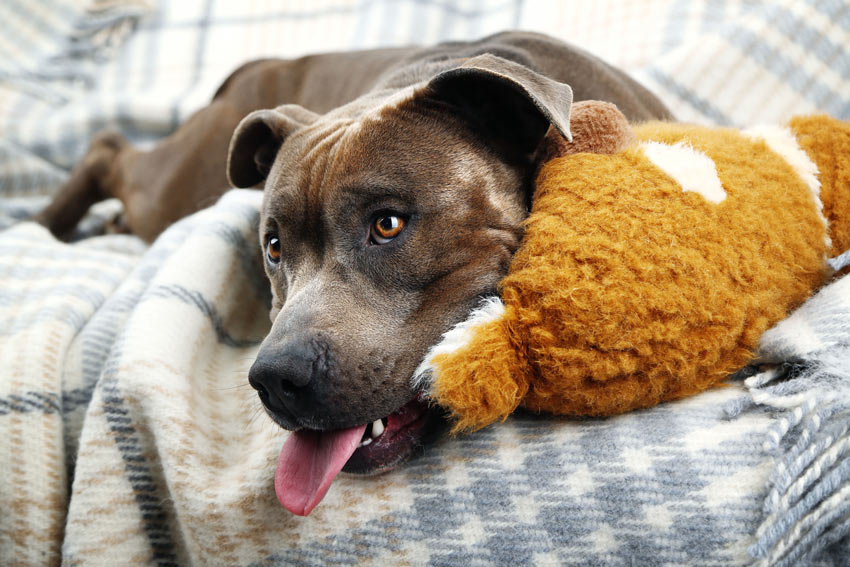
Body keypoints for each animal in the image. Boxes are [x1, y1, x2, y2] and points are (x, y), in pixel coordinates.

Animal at [36, 32, 668, 520]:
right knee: (108, 147)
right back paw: (44, 225)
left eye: (388, 224)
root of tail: (264, 64)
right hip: (180, 185)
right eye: (273, 247)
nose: (275, 378)